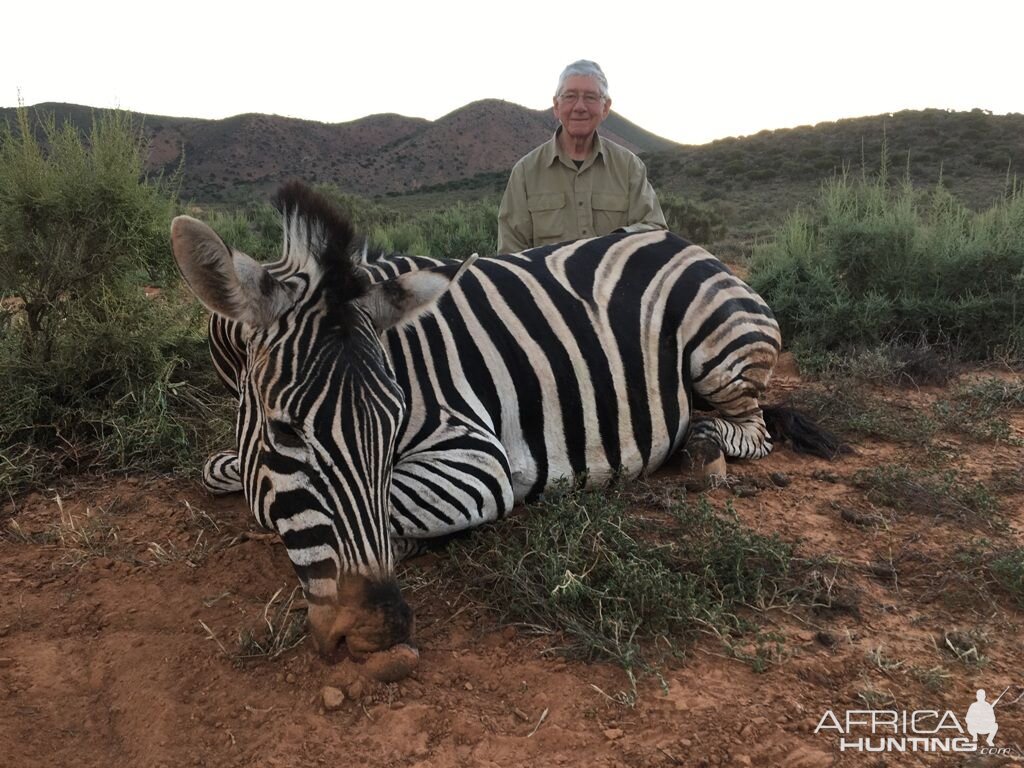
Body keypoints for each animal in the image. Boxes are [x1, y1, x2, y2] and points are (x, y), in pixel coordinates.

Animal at [169, 183, 839, 671]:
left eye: (393, 423)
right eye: (285, 434)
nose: (381, 635)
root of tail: (683, 241)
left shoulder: (478, 457)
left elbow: (392, 507)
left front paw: (413, 542)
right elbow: (220, 473)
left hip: (722, 349)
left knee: (751, 428)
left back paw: (701, 448)